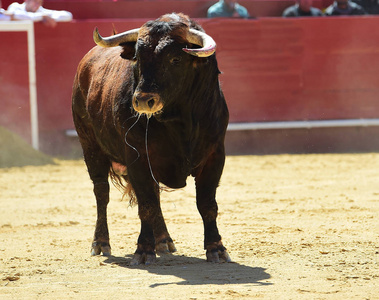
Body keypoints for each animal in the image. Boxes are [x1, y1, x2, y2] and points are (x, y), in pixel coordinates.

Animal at [72, 12, 230, 264]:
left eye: (176, 59)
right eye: (137, 57)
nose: (143, 100)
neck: (180, 119)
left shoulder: (214, 156)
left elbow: (207, 204)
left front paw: (216, 248)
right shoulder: (138, 159)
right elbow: (146, 204)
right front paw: (144, 250)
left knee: (155, 196)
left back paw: (163, 240)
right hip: (90, 146)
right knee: (101, 193)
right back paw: (100, 242)